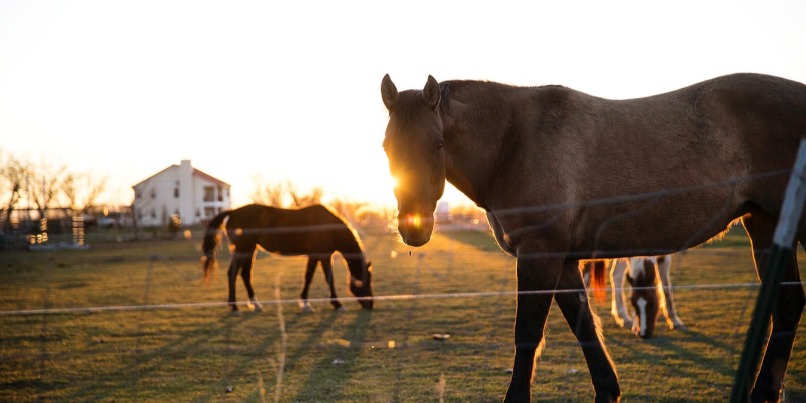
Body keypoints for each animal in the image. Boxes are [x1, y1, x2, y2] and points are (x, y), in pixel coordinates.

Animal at [205, 205, 376, 312]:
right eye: (365, 281)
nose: (370, 304)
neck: (328, 226)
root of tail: (233, 212)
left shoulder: (317, 255)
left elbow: (309, 277)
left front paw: (305, 303)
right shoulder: (322, 255)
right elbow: (326, 278)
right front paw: (335, 304)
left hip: (250, 249)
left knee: (245, 275)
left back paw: (255, 304)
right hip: (243, 250)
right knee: (233, 273)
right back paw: (234, 307)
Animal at [380, 73, 806, 403]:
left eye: (437, 144)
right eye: (387, 148)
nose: (414, 229)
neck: (514, 142)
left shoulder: (539, 256)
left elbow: (528, 334)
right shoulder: (564, 262)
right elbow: (584, 325)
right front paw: (608, 389)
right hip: (765, 224)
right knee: (787, 304)